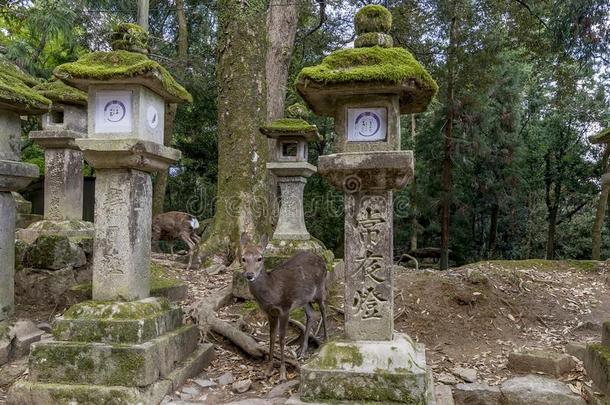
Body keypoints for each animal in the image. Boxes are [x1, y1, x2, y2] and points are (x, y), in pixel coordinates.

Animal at [239, 232, 328, 380]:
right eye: (243, 258)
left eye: (259, 258)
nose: (249, 275)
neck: (272, 293)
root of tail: (321, 259)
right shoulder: (270, 312)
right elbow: (271, 337)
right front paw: (268, 370)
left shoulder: (285, 308)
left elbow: (281, 338)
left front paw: (282, 373)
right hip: (304, 299)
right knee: (311, 314)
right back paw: (302, 351)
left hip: (320, 288)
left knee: (324, 310)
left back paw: (326, 341)